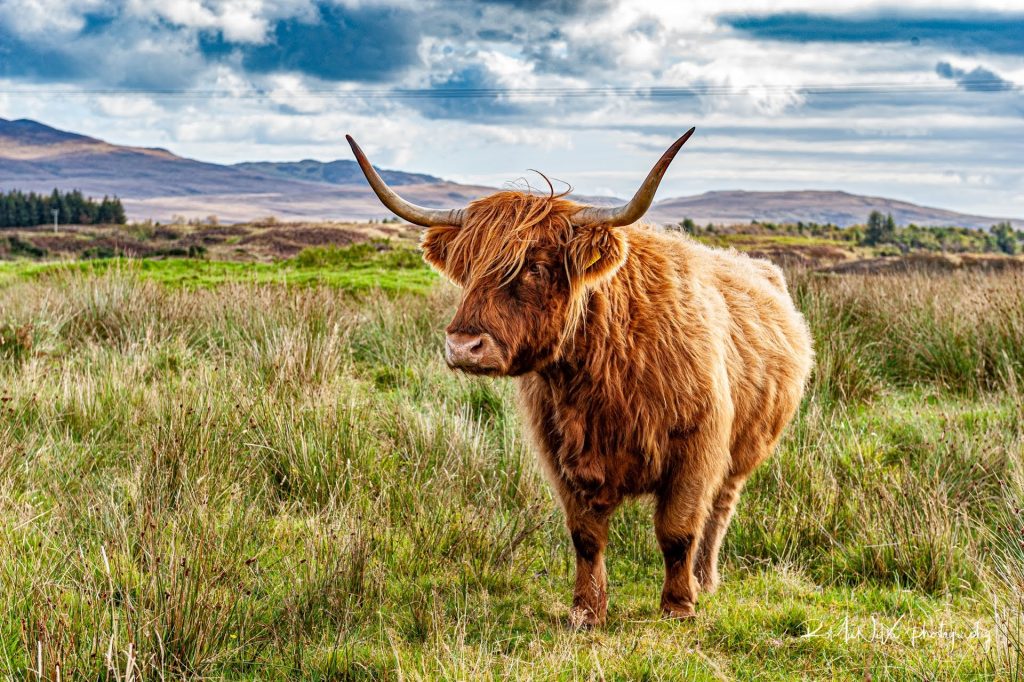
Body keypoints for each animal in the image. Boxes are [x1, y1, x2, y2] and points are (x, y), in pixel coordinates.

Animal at [348, 129, 811, 626]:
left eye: (534, 266)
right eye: (468, 268)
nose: (463, 346)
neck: (600, 373)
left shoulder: (696, 447)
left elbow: (678, 530)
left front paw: (678, 606)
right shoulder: (561, 453)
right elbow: (586, 537)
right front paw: (587, 611)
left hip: (745, 450)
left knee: (719, 512)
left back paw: (704, 580)